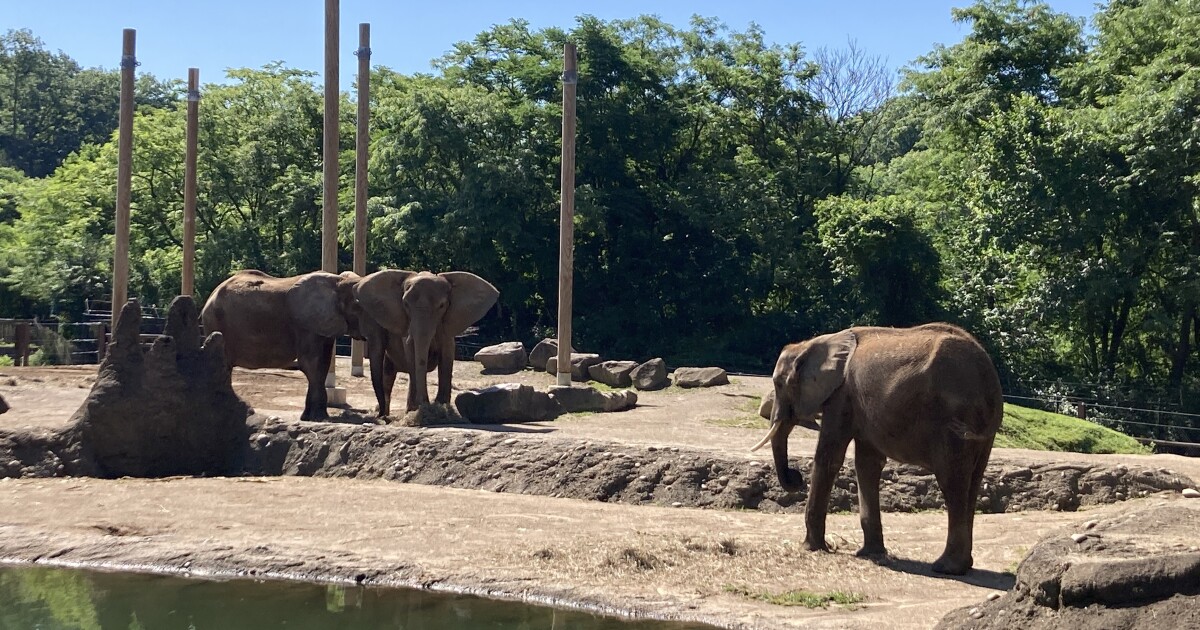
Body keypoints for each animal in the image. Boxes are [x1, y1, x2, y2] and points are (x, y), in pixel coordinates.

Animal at [200, 270, 362, 421]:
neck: (338, 281)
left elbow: (323, 364)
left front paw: (309, 418)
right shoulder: (305, 324)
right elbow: (311, 364)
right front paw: (320, 419)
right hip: (216, 322)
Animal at [353, 269, 499, 416]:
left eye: (442, 305)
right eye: (405, 304)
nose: (423, 403)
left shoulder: (447, 327)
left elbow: (446, 357)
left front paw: (441, 408)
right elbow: (412, 355)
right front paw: (417, 409)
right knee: (388, 375)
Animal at [751, 323, 1003, 575]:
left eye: (779, 384)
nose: (796, 478)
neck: (813, 343)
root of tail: (990, 377)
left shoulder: (841, 395)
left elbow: (829, 457)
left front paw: (811, 548)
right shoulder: (858, 404)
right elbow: (867, 464)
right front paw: (869, 553)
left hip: (953, 419)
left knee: (952, 482)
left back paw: (945, 567)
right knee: (972, 481)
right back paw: (962, 566)